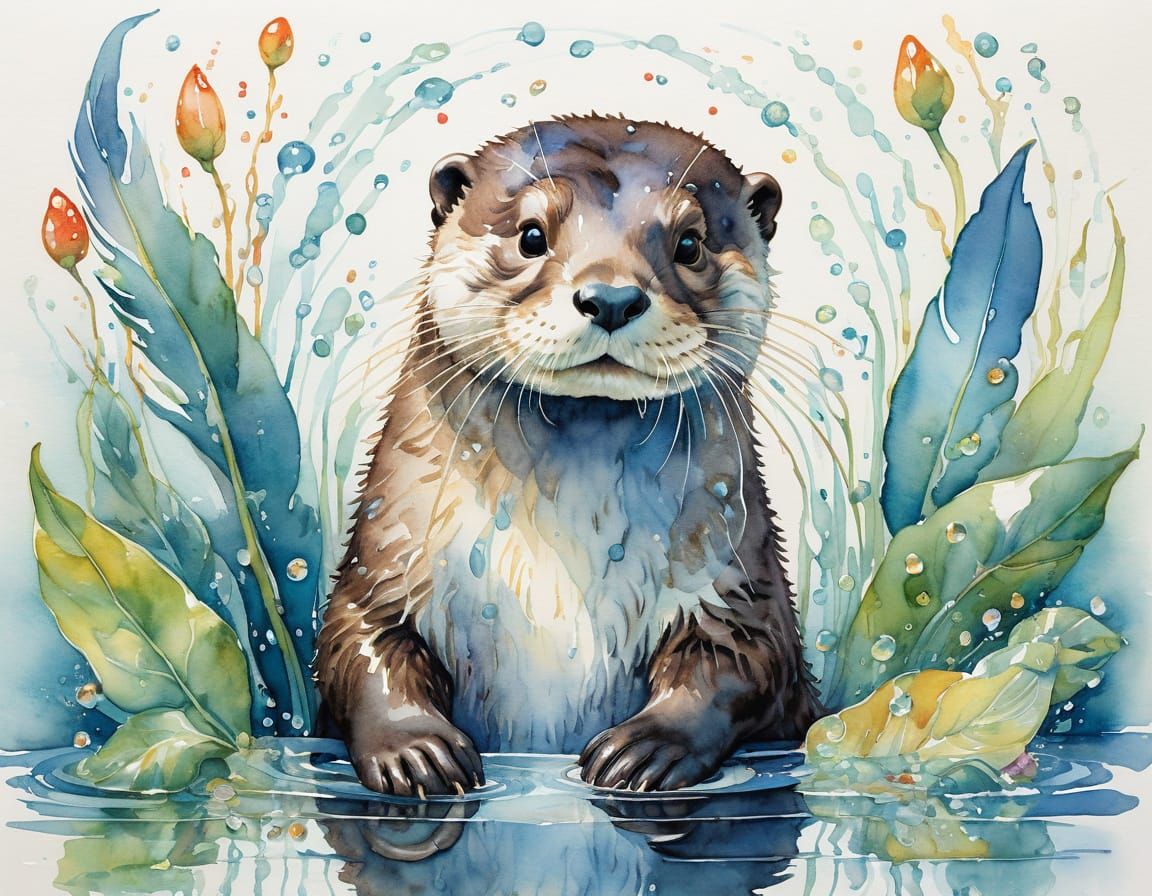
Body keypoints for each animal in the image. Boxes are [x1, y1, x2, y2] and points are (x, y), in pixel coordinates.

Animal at [314, 114, 821, 796]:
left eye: (690, 244)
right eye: (531, 235)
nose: (610, 298)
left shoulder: (738, 576)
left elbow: (739, 661)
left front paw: (646, 748)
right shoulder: (384, 558)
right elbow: (358, 644)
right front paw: (413, 750)